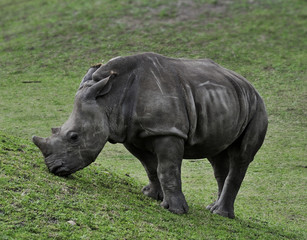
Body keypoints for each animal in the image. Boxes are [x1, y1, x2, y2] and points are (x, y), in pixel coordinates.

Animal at [33, 52, 268, 218]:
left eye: (74, 136)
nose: (53, 169)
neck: (108, 99)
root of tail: (250, 85)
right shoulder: (132, 134)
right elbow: (150, 166)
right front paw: (151, 196)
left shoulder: (168, 131)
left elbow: (167, 168)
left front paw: (176, 210)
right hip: (228, 99)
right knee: (217, 155)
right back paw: (212, 208)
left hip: (257, 106)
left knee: (241, 156)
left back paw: (221, 213)